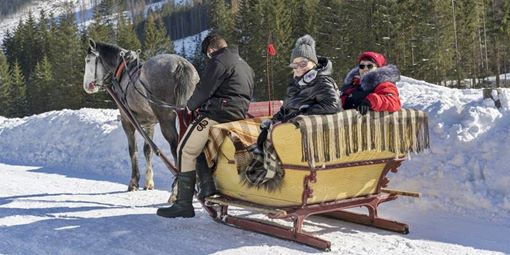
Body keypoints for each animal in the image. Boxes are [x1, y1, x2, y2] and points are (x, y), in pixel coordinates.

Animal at [82, 39, 198, 191]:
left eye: (88, 60)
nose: (86, 85)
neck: (122, 71)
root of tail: (180, 65)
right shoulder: (149, 123)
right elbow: (148, 150)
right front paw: (148, 182)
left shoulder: (127, 120)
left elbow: (133, 150)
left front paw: (134, 182)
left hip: (166, 118)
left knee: (176, 146)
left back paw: (175, 190)